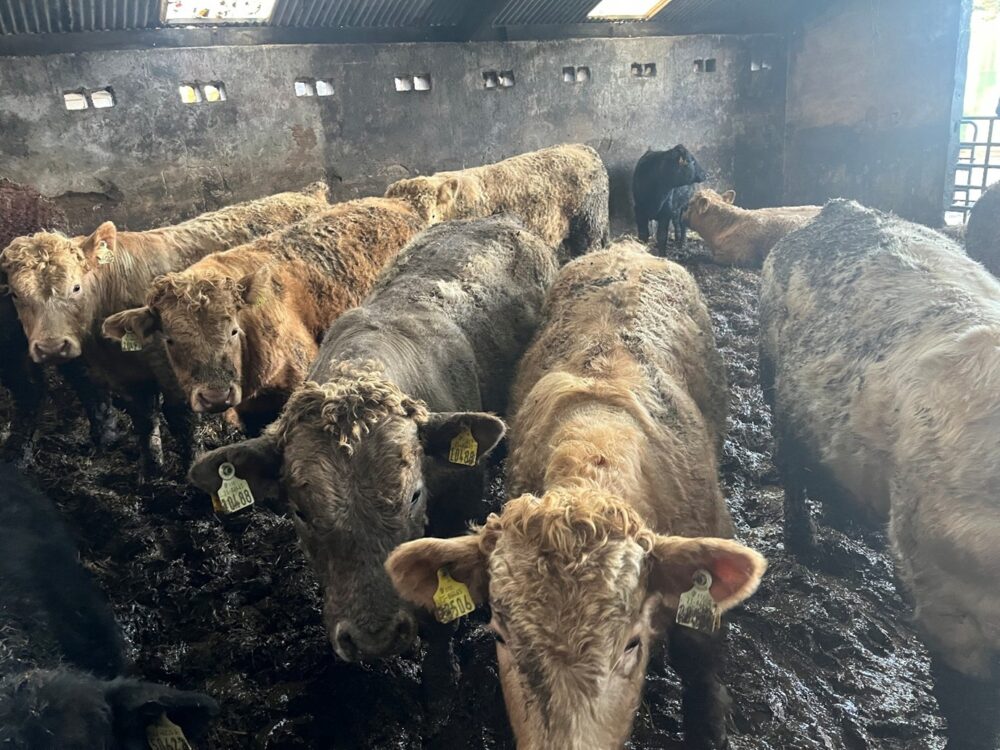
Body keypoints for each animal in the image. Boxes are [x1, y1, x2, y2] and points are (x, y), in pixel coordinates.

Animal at [1, 183, 329, 474]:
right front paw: (150, 470)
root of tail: (308, 193)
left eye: (76, 287)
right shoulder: (128, 377)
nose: (52, 347)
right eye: (15, 294)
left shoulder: (175, 371)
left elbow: (182, 419)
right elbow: (144, 418)